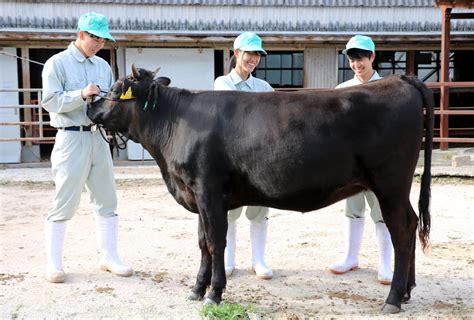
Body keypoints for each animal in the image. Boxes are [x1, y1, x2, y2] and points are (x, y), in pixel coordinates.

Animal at [87, 65, 432, 312]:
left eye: (115, 90)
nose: (90, 107)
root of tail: (399, 79)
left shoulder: (208, 190)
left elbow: (215, 243)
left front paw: (214, 293)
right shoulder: (197, 195)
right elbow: (202, 243)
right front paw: (197, 289)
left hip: (389, 183)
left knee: (401, 231)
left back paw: (393, 298)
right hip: (393, 187)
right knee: (412, 223)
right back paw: (408, 291)